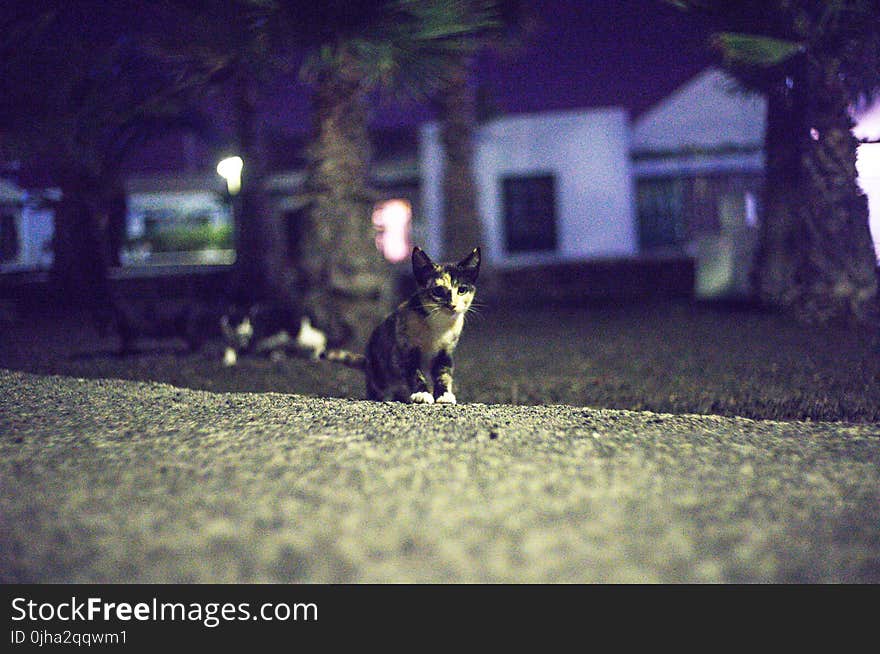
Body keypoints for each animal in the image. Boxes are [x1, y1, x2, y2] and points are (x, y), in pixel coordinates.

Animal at [324, 247, 482, 404]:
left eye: (462, 290)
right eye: (438, 291)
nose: (452, 305)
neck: (438, 325)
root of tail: (368, 363)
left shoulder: (445, 353)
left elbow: (443, 374)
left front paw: (444, 394)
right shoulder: (405, 349)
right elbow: (415, 373)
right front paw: (422, 393)